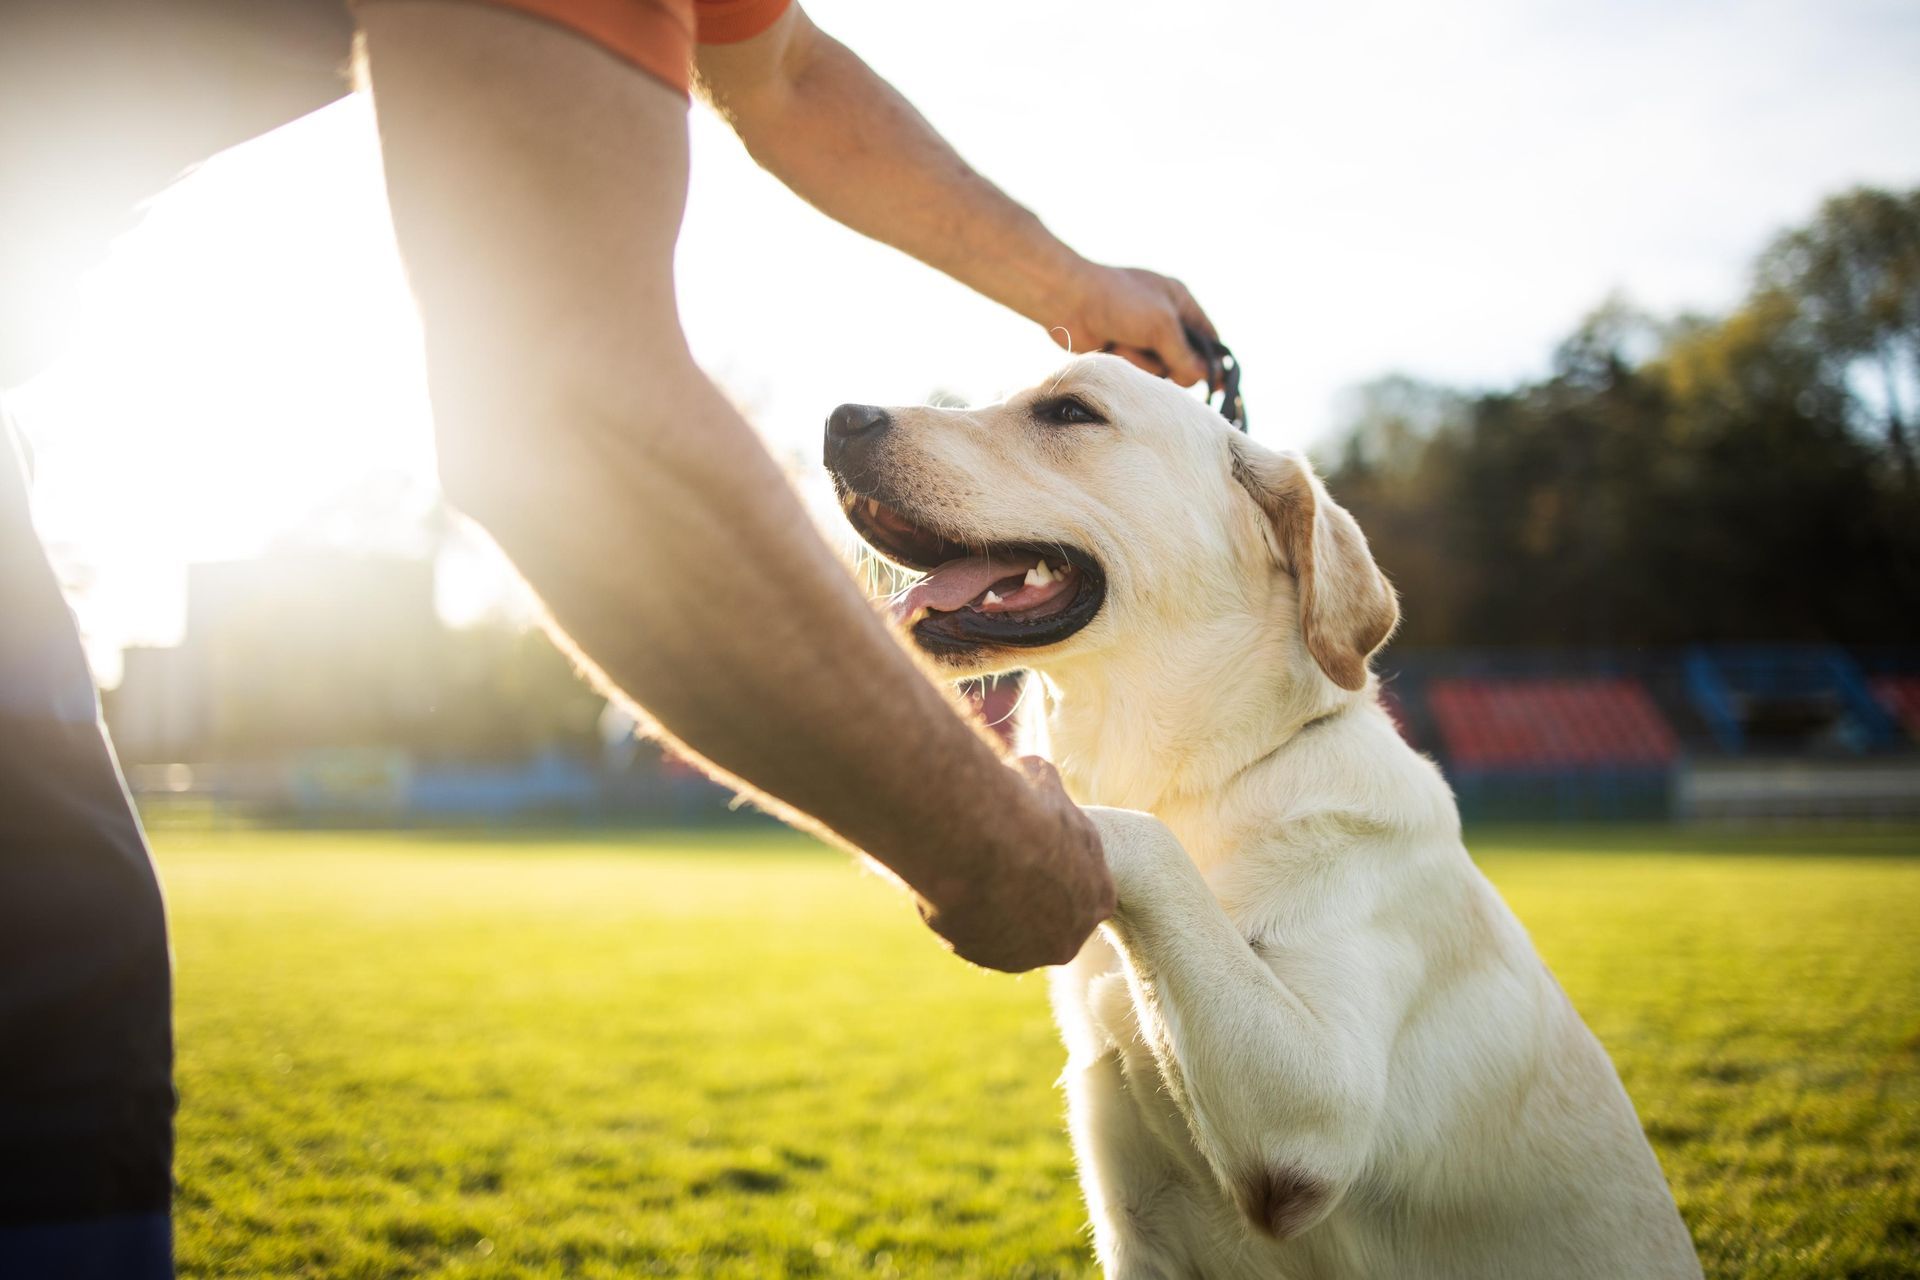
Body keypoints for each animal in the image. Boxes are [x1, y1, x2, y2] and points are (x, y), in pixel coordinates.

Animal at [825, 353, 1697, 1280]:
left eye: (1069, 411)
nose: (839, 419)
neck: (1198, 785)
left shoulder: (1314, 1114)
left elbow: (1142, 840)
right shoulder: (1135, 1229)